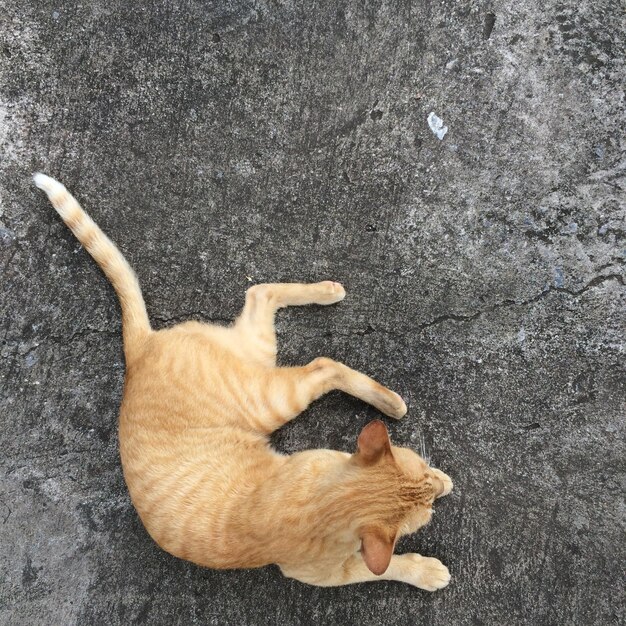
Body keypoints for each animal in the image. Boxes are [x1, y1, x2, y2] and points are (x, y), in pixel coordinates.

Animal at [34, 173, 450, 588]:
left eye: (424, 472)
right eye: (425, 509)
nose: (439, 487)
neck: (322, 498)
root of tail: (140, 349)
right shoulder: (325, 573)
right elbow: (383, 567)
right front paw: (426, 568)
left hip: (260, 361)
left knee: (260, 292)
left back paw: (328, 292)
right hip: (270, 396)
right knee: (320, 362)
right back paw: (390, 400)